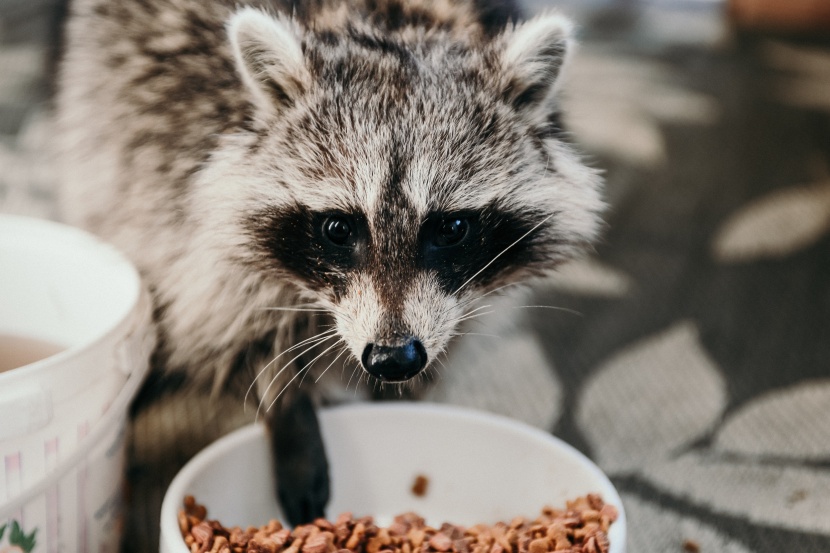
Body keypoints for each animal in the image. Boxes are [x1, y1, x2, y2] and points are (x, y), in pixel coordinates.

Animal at [57, 0, 604, 520]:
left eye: (451, 228)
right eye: (339, 229)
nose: (394, 360)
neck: (392, 24)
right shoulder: (174, 169)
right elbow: (223, 313)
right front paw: (287, 404)